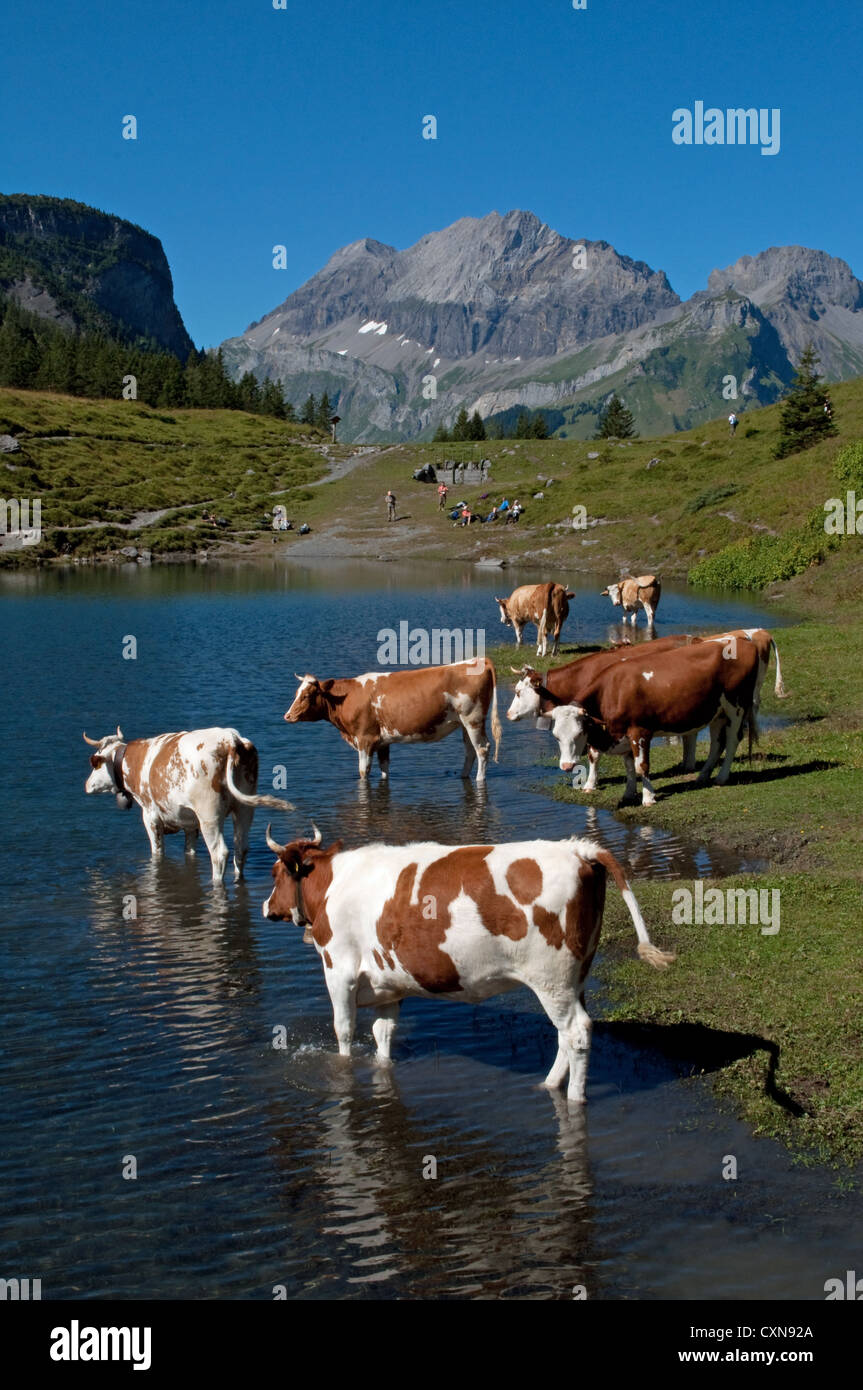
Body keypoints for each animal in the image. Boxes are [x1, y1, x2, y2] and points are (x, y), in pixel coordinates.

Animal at [84, 728, 293, 878]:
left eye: (95, 764)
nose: (86, 785)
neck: (135, 763)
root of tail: (231, 738)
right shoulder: (190, 822)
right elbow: (189, 852)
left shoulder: (150, 816)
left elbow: (157, 852)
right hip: (244, 809)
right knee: (240, 849)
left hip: (209, 815)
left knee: (219, 854)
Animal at [262, 822, 672, 1106]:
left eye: (275, 873)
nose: (266, 906)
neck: (333, 883)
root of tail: (578, 849)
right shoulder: (388, 984)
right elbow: (383, 1035)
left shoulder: (340, 971)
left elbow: (344, 1033)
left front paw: (343, 1072)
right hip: (575, 977)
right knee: (565, 1034)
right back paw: (549, 1083)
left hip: (551, 978)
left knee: (578, 1033)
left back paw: (573, 1097)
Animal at [282, 653, 497, 778]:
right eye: (296, 693)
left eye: (307, 695)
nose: (287, 716)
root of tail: (480, 660)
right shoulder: (382, 741)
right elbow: (384, 769)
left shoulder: (365, 738)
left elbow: (363, 772)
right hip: (464, 723)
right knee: (470, 750)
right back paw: (463, 775)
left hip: (473, 719)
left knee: (482, 749)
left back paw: (479, 779)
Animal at [544, 631, 789, 806]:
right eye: (556, 736)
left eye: (579, 733)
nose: (567, 766)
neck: (612, 690)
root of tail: (744, 642)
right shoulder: (622, 734)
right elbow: (629, 767)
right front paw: (628, 794)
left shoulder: (640, 731)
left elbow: (641, 765)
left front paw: (648, 798)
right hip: (717, 711)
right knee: (717, 744)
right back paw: (703, 776)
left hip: (736, 707)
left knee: (732, 739)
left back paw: (722, 776)